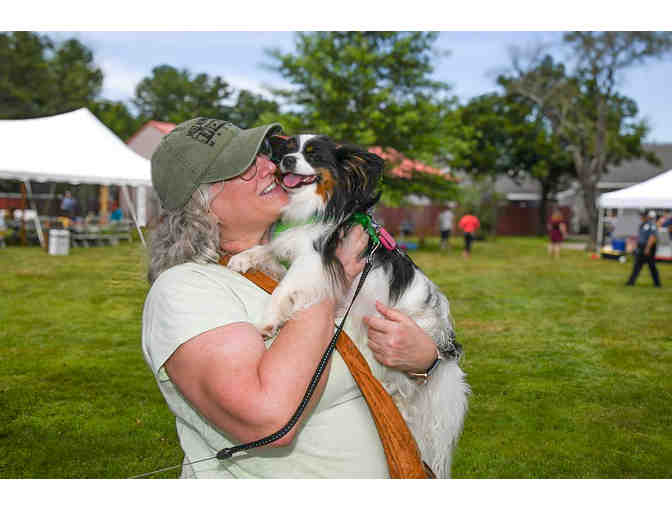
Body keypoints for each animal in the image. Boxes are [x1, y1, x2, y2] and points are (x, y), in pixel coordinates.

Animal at [228, 133, 470, 476]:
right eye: (288, 149)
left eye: (313, 155)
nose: (286, 161)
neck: (314, 208)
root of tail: (445, 347)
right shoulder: (296, 249)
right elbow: (268, 249)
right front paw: (243, 257)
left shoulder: (314, 261)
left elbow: (284, 289)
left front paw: (267, 322)